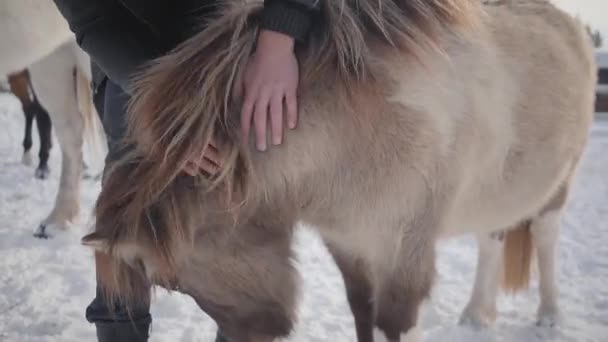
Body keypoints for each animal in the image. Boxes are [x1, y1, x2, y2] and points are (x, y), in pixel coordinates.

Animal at [83, 0, 596, 342]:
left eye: (170, 282)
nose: (254, 333)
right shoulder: (348, 242)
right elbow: (361, 313)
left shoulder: (402, 252)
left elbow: (392, 324)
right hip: (499, 192)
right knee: (492, 239)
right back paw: (476, 313)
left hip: (559, 185)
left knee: (545, 236)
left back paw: (550, 314)